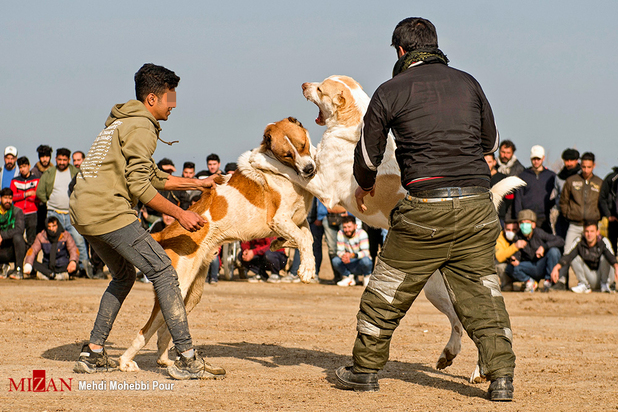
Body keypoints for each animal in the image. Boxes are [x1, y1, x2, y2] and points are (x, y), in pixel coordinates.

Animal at [117, 117, 316, 372]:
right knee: (146, 329)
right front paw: (306, 270)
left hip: (191, 294)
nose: (309, 169)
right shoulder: (278, 219)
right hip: (178, 287)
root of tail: (163, 233)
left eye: (303, 145)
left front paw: (282, 246)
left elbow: (306, 238)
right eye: (287, 154)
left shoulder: (299, 220)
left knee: (166, 327)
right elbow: (302, 239)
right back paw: (125, 362)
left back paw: (165, 359)